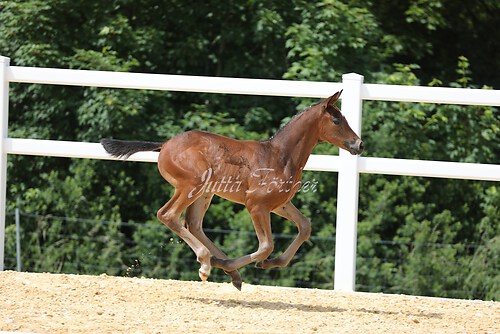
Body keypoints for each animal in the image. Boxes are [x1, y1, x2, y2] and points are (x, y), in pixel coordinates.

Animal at [100, 90, 364, 290]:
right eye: (337, 120)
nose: (359, 144)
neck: (281, 156)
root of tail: (164, 145)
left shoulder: (279, 204)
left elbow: (305, 226)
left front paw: (269, 264)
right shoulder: (256, 206)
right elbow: (266, 246)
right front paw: (251, 264)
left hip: (205, 192)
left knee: (193, 224)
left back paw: (223, 266)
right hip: (191, 185)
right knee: (168, 215)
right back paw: (207, 263)